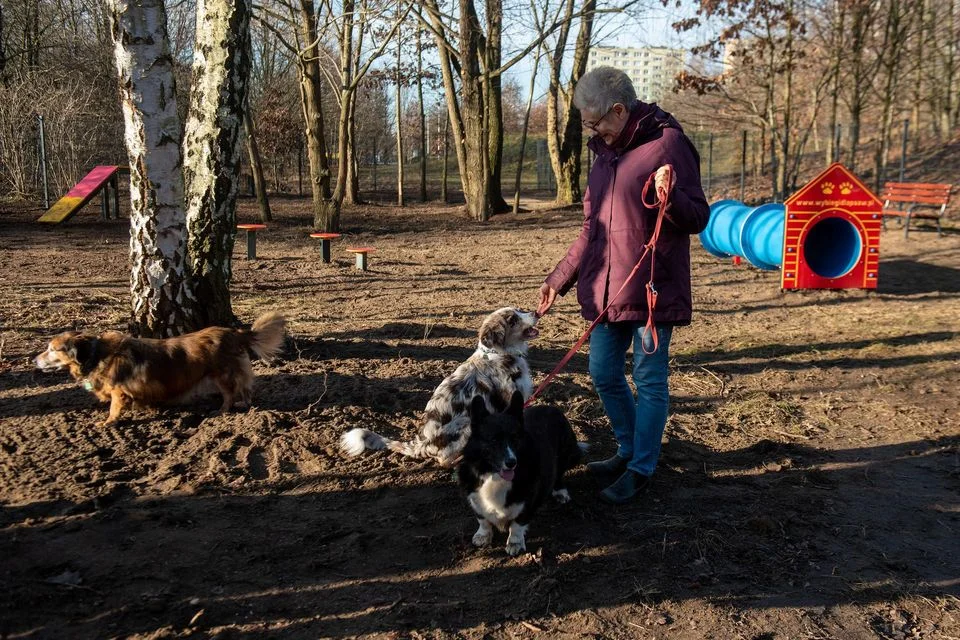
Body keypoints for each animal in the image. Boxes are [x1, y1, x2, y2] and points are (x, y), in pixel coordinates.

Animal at [37, 314, 284, 428]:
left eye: (52, 349)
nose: (34, 360)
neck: (96, 354)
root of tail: (235, 333)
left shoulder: (120, 391)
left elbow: (114, 408)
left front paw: (107, 423)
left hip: (220, 374)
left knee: (231, 393)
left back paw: (222, 410)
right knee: (245, 387)